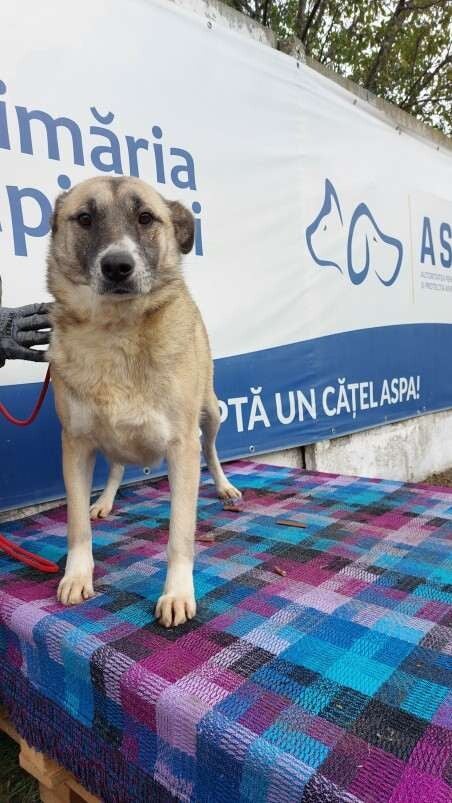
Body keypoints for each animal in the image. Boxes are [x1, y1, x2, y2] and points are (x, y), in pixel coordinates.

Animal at [47, 176, 241, 627]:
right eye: (85, 218)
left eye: (146, 218)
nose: (118, 266)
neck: (115, 331)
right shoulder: (75, 444)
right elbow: (76, 524)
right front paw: (77, 575)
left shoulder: (182, 447)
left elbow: (179, 534)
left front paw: (177, 593)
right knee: (117, 466)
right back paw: (104, 501)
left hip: (210, 413)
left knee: (212, 451)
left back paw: (225, 486)